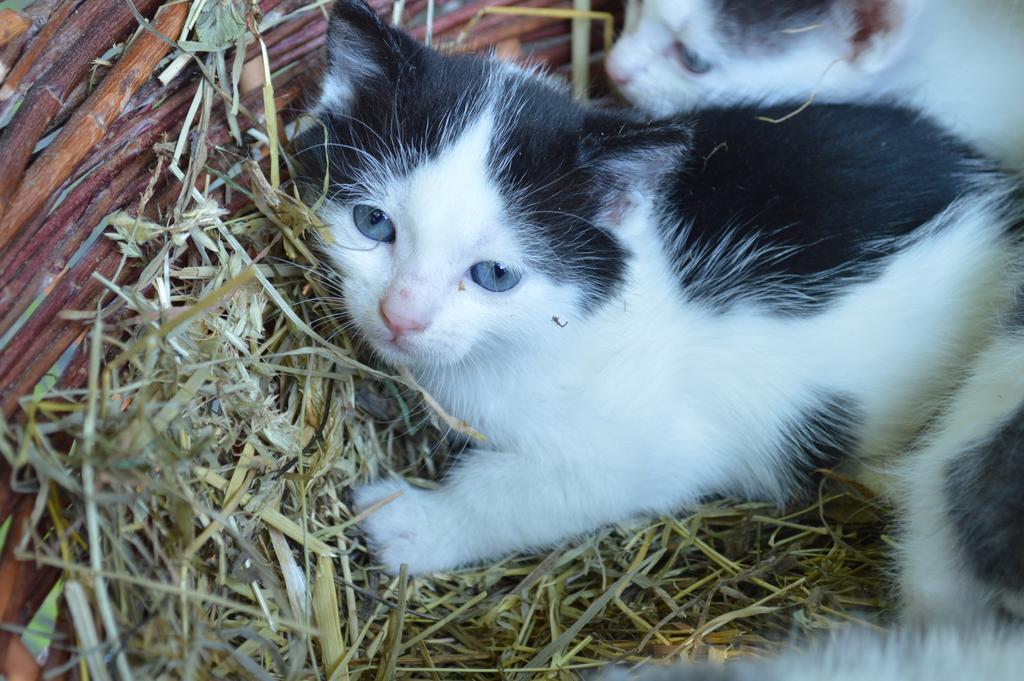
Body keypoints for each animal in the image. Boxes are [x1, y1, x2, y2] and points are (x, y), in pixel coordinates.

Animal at [296, 2, 1024, 626]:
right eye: (372, 223)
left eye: (495, 275)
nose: (401, 315)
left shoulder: (659, 441)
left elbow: (537, 490)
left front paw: (411, 522)